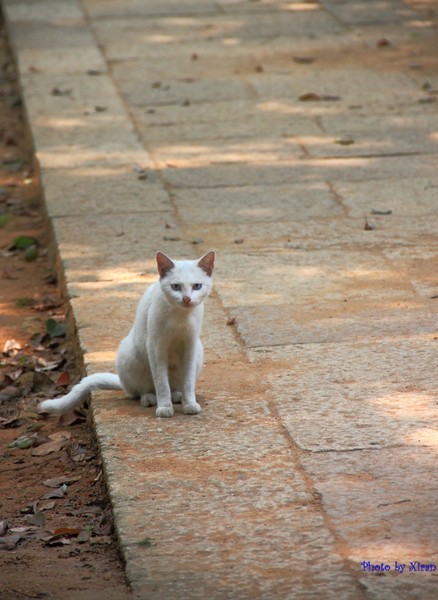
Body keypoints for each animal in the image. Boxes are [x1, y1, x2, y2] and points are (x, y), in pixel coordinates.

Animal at [37, 251, 214, 420]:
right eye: (176, 286)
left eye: (197, 286)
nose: (186, 299)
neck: (179, 317)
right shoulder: (155, 346)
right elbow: (161, 383)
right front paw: (164, 407)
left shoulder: (190, 346)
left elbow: (188, 381)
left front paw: (189, 404)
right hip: (129, 354)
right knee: (139, 390)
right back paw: (149, 398)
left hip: (199, 352)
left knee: (175, 385)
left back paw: (177, 395)